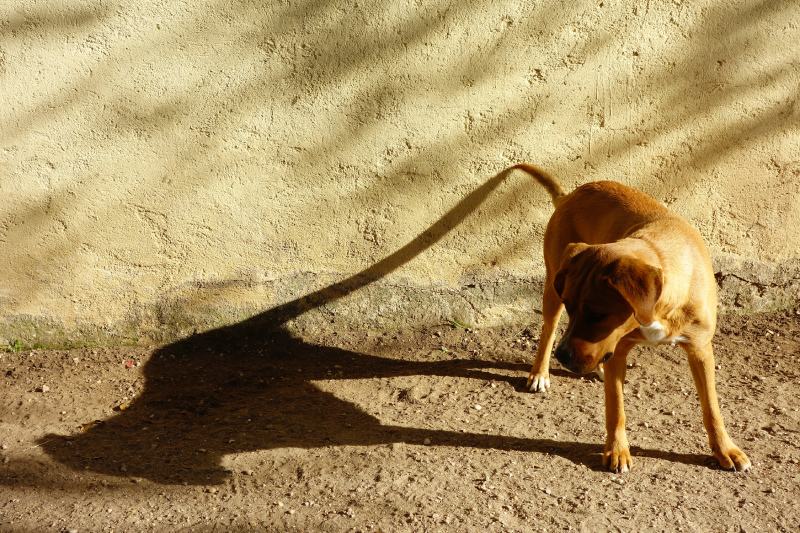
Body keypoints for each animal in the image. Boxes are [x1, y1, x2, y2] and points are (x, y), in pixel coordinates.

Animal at [512, 163, 752, 474]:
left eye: (597, 314)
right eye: (573, 308)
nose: (562, 357)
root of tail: (569, 196)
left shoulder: (700, 349)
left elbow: (712, 408)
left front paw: (726, 450)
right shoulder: (618, 347)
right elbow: (615, 408)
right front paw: (617, 451)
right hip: (553, 285)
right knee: (548, 329)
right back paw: (540, 373)